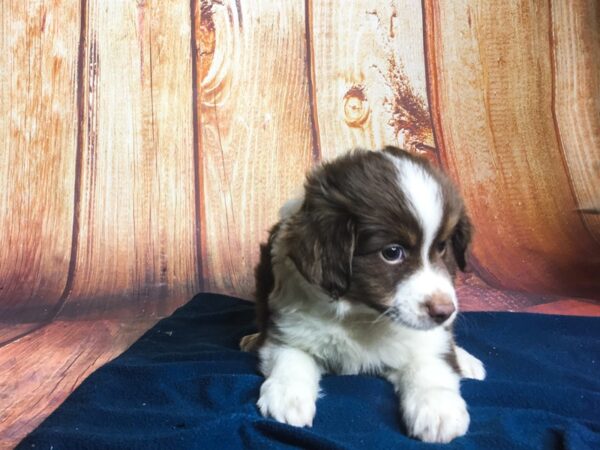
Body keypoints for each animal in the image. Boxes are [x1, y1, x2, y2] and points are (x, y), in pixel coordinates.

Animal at [241, 148, 486, 442]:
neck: (363, 315)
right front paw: (287, 397)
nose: (444, 312)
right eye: (392, 252)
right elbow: (290, 358)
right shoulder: (288, 328)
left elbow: (432, 363)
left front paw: (439, 410)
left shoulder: (426, 338)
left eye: (441, 247)